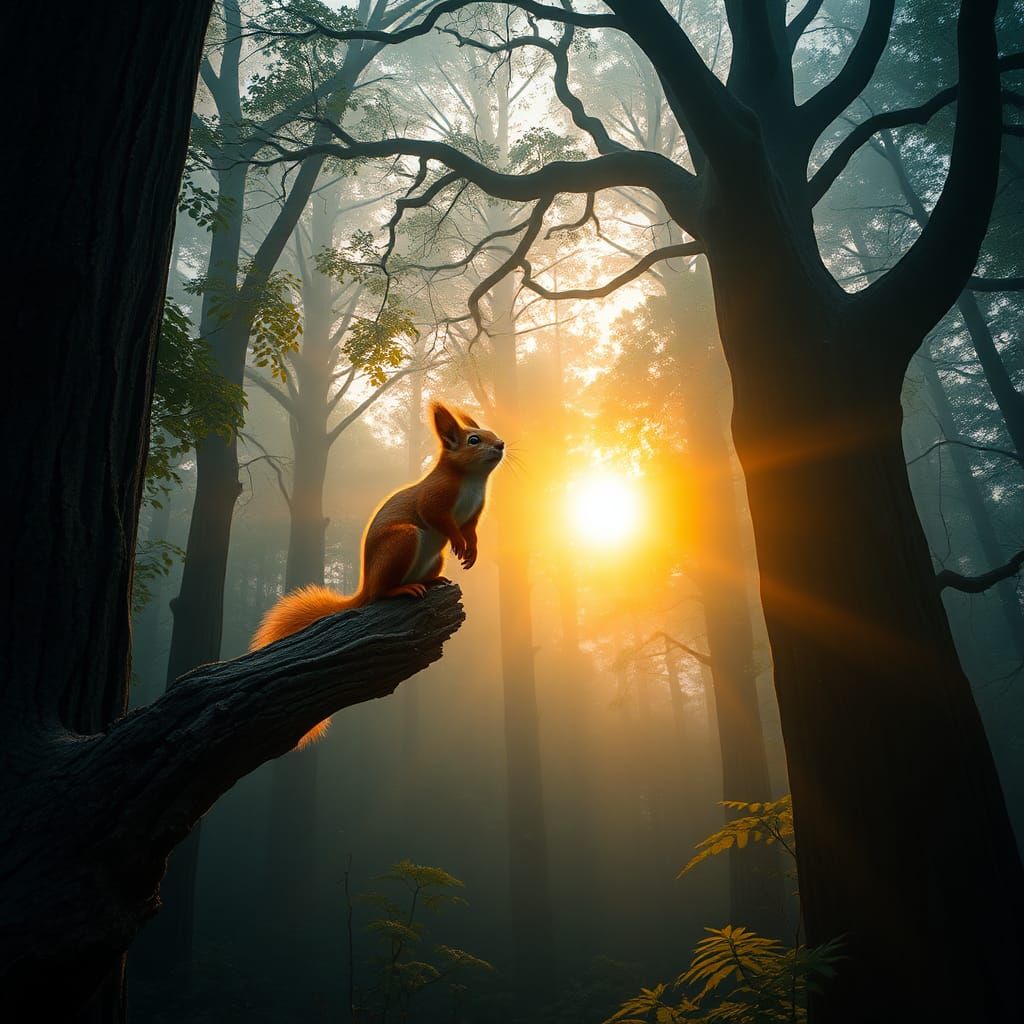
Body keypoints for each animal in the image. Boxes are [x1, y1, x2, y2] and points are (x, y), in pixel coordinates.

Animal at [250, 401, 504, 747]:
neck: (473, 481)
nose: (501, 444)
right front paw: (459, 542)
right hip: (403, 540)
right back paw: (402, 590)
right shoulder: (434, 498)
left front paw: (472, 550)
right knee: (382, 593)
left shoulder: (475, 513)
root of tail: (367, 585)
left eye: (491, 433)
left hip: (432, 559)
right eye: (474, 440)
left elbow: (472, 531)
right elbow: (441, 519)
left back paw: (431, 581)